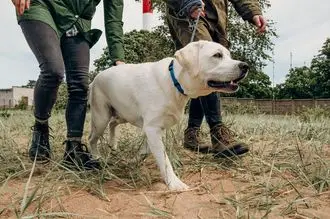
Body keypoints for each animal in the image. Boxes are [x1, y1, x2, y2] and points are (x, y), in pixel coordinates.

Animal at [87, 40, 248, 191]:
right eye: (217, 55)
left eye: (229, 55)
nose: (245, 66)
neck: (174, 81)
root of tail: (95, 78)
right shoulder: (152, 128)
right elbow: (164, 159)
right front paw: (174, 183)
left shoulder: (156, 128)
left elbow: (147, 150)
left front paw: (135, 160)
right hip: (101, 117)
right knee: (92, 138)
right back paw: (96, 157)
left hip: (123, 114)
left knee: (113, 123)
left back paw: (113, 144)